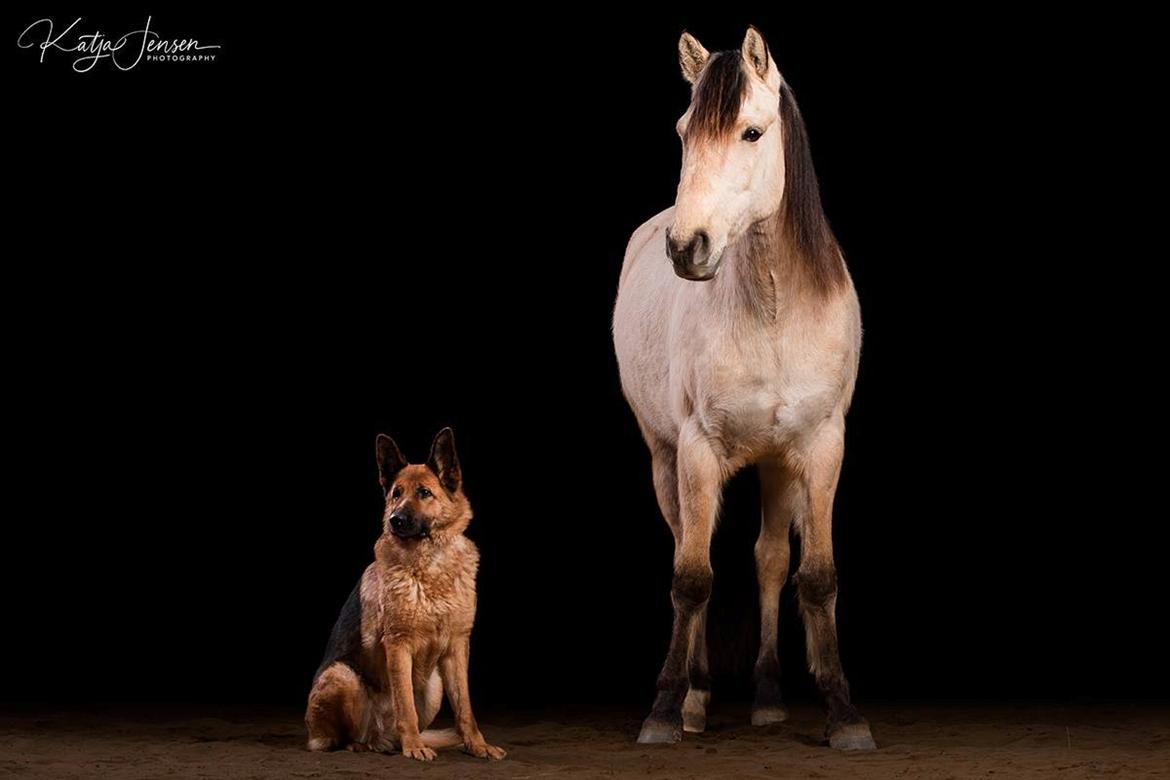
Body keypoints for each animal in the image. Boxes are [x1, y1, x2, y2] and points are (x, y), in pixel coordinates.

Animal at [304, 428, 505, 762]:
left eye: (424, 493)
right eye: (396, 494)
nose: (395, 520)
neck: (431, 563)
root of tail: (381, 736)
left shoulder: (457, 647)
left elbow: (465, 708)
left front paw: (477, 744)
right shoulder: (398, 645)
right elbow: (405, 704)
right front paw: (413, 746)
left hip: (435, 686)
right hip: (342, 676)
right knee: (339, 738)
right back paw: (368, 744)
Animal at [613, 27, 879, 753]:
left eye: (752, 132)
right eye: (684, 131)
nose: (686, 247)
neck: (772, 311)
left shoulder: (821, 448)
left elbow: (813, 576)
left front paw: (843, 712)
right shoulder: (697, 452)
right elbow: (692, 577)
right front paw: (666, 708)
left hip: (774, 464)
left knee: (768, 561)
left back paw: (766, 696)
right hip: (665, 460)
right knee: (690, 547)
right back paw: (697, 697)